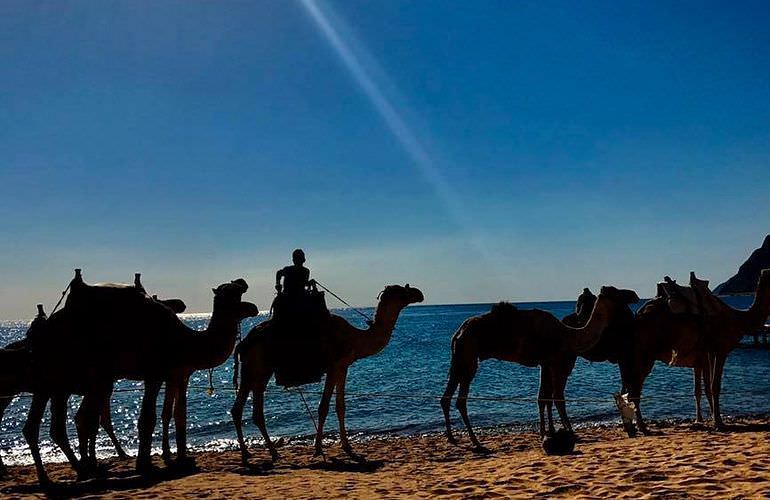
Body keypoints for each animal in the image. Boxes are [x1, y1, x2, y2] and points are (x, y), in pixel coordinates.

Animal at [23, 270, 258, 484]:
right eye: (232, 292)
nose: (253, 307)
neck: (185, 341)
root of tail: (41, 331)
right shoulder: (155, 374)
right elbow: (148, 418)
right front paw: (145, 464)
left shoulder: (176, 375)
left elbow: (177, 414)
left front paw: (180, 459)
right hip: (73, 377)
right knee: (76, 421)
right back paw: (77, 471)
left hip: (59, 382)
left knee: (50, 425)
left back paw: (72, 472)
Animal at [232, 284, 426, 462]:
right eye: (402, 291)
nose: (419, 293)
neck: (355, 339)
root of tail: (244, 342)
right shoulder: (333, 366)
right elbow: (323, 407)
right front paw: (318, 449)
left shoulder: (343, 368)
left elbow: (341, 406)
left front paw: (347, 446)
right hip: (258, 367)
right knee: (248, 408)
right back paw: (258, 453)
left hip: (257, 370)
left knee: (246, 409)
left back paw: (258, 453)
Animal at [438, 288, 636, 452]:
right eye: (616, 292)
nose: (634, 295)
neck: (570, 335)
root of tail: (458, 333)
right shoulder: (556, 362)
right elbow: (558, 398)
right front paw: (569, 433)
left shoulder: (545, 363)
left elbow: (542, 398)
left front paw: (545, 433)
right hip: (469, 355)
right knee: (460, 401)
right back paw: (476, 442)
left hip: (460, 359)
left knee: (446, 397)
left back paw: (452, 438)